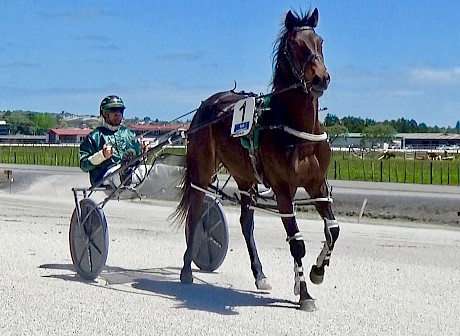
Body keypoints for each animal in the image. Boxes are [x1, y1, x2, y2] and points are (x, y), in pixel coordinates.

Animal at [172, 8, 338, 312]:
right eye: (295, 45)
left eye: (320, 41)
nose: (320, 78)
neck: (295, 130)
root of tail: (206, 105)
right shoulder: (283, 191)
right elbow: (297, 243)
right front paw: (304, 294)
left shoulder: (317, 185)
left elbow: (333, 230)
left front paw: (316, 272)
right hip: (202, 171)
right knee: (195, 214)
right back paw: (187, 269)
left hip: (244, 176)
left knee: (246, 223)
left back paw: (260, 275)